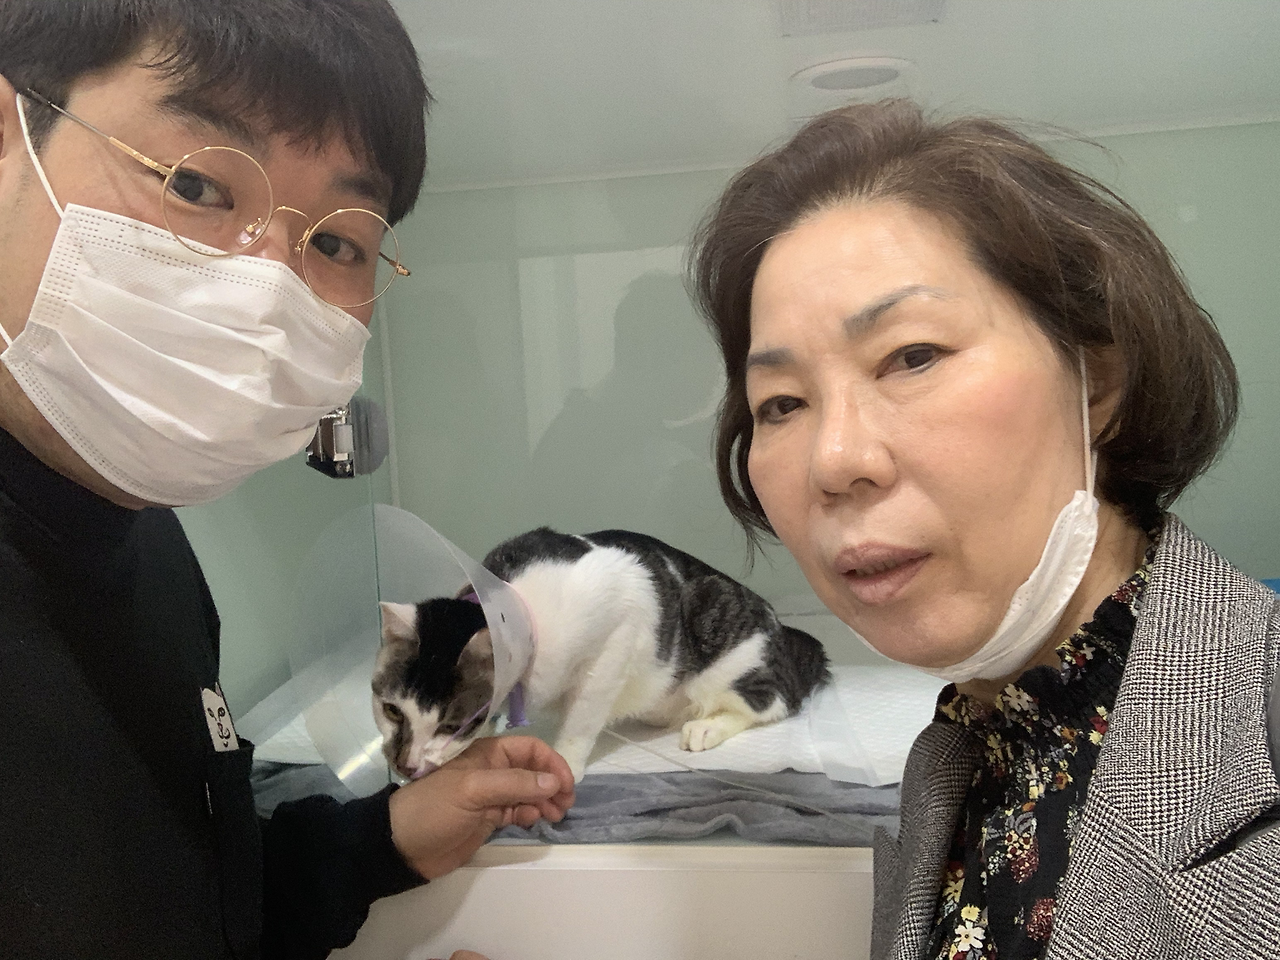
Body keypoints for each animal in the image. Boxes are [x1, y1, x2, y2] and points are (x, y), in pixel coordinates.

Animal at [372, 527, 831, 782]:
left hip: (724, 652)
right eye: (392, 711)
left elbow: (583, 714)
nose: (406, 766)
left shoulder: (618, 631)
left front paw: (564, 763)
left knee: (773, 700)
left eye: (451, 724)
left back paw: (707, 726)